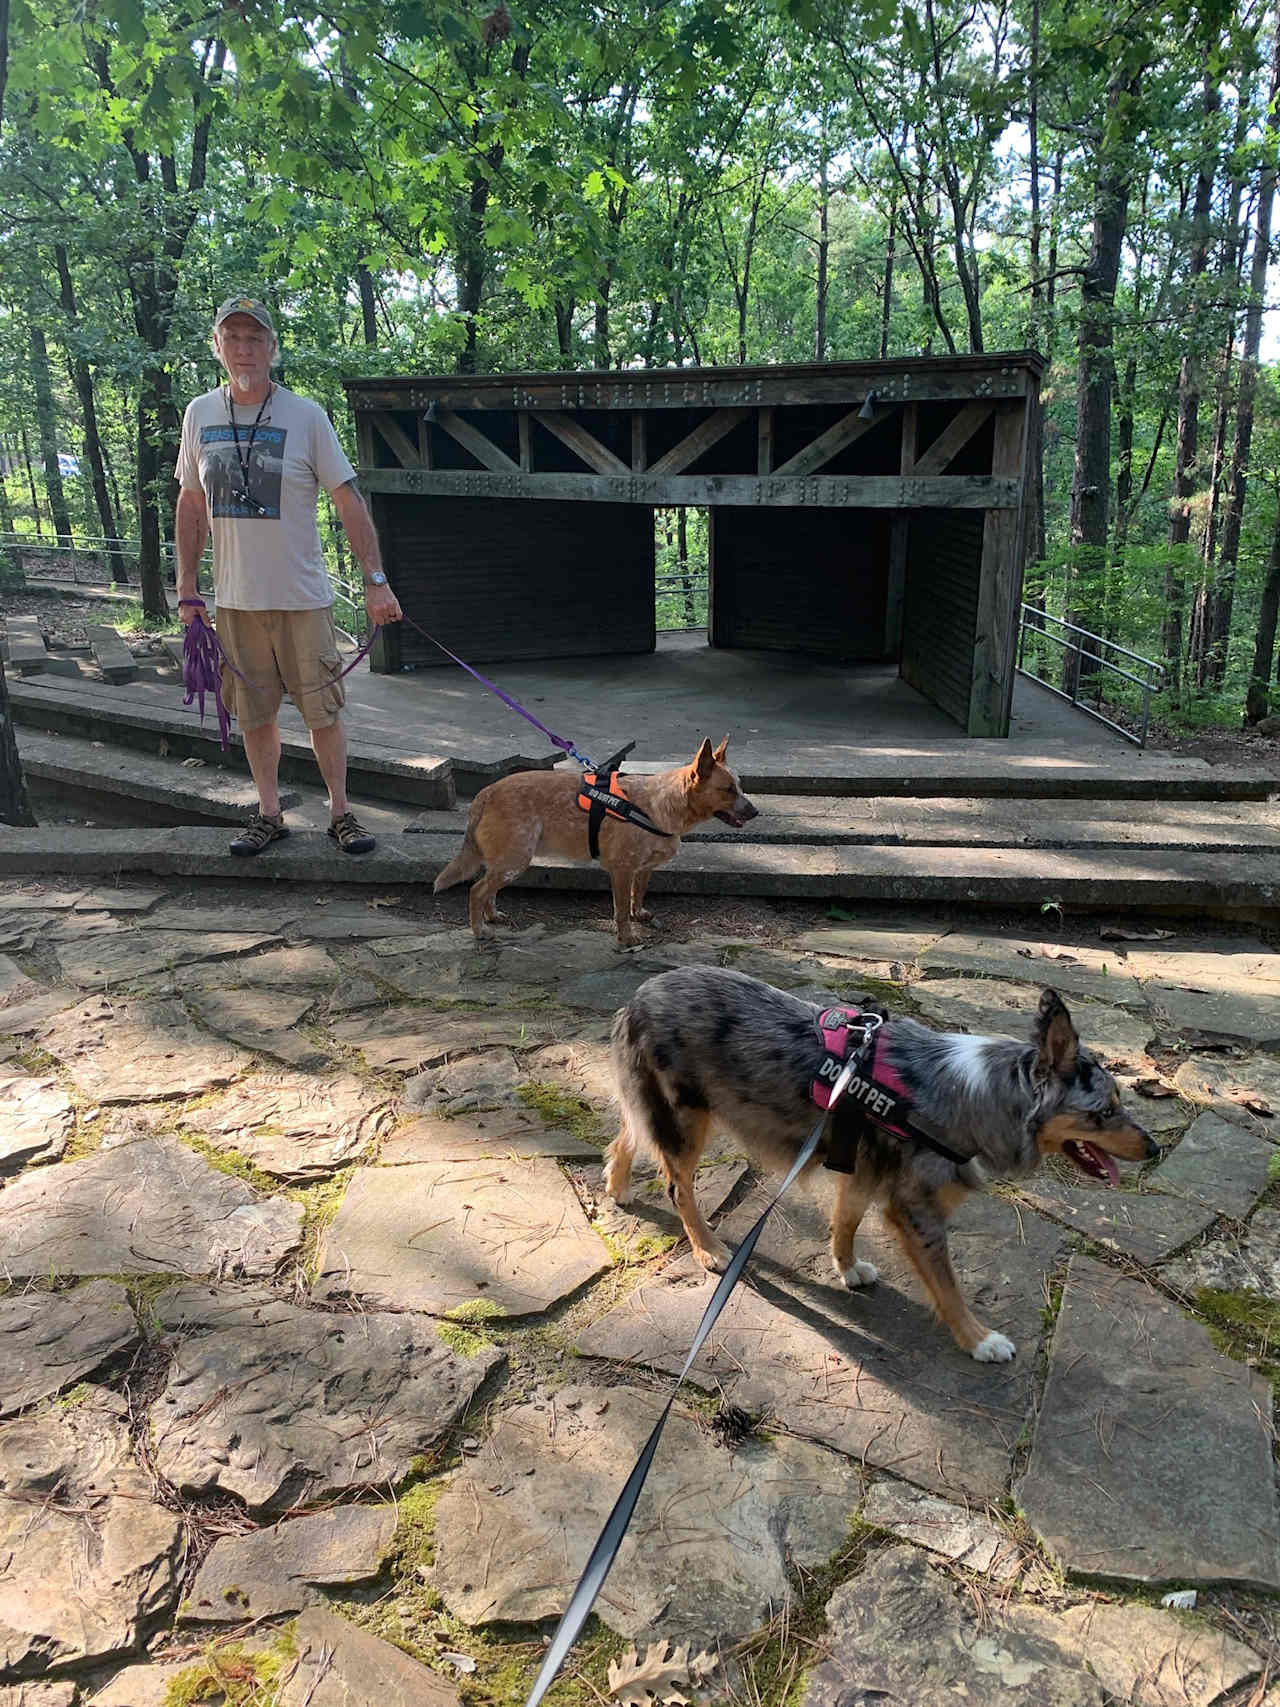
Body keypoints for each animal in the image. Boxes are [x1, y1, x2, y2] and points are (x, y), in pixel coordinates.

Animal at [440, 737, 761, 949]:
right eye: (728, 790)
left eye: (740, 786)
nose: (755, 811)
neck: (659, 805)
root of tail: (487, 792)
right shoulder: (621, 869)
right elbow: (620, 911)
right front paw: (627, 938)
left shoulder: (642, 869)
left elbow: (637, 894)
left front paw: (638, 913)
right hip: (514, 860)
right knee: (476, 891)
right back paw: (479, 930)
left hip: (506, 861)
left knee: (486, 889)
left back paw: (491, 916)